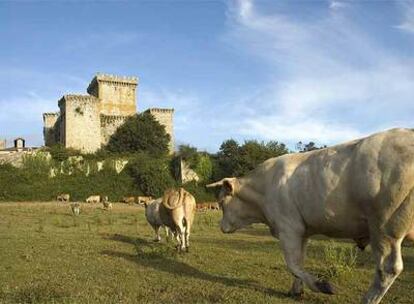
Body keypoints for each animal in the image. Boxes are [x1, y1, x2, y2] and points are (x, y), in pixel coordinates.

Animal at [207, 129, 414, 304]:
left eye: (221, 201)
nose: (221, 227)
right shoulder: (303, 232)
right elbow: (299, 262)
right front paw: (296, 290)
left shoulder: (289, 228)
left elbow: (292, 263)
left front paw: (321, 285)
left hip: (384, 227)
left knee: (388, 268)